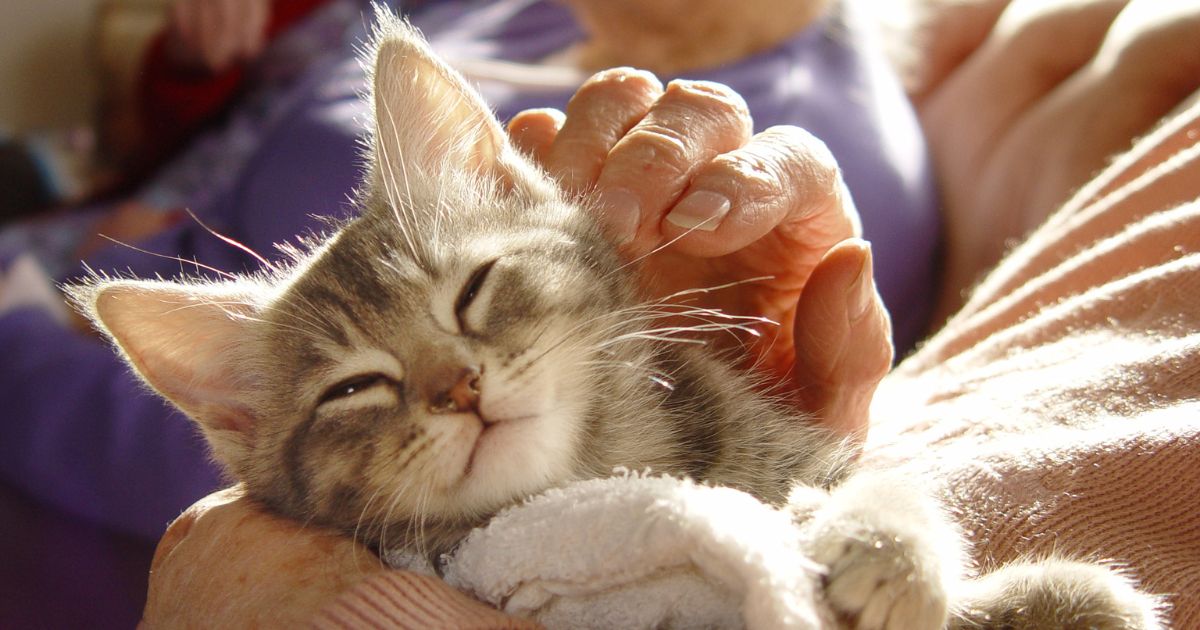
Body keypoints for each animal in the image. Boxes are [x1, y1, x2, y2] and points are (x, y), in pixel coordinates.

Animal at [70, 11, 1156, 628]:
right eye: (354, 388)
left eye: (473, 290)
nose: (458, 389)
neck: (608, 461)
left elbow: (881, 484)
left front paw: (900, 552)